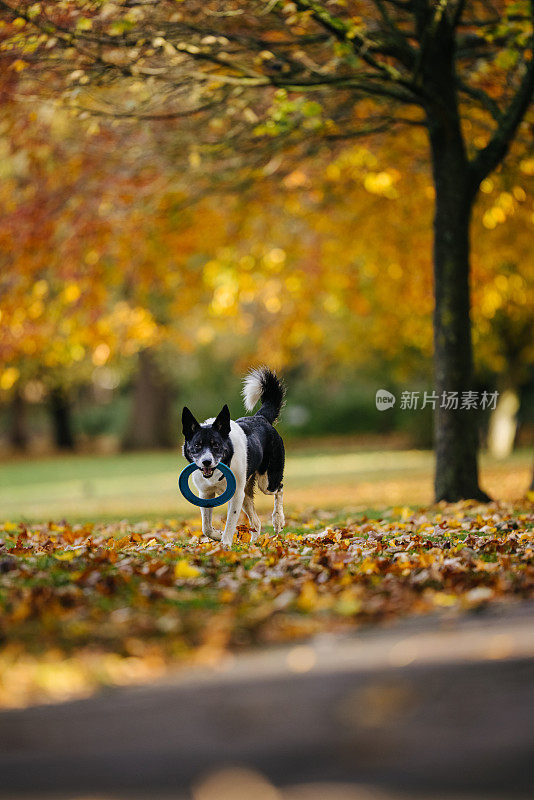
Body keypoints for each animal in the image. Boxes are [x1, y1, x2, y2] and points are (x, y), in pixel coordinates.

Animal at [182, 368, 286, 544]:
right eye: (197, 445)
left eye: (216, 445)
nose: (206, 462)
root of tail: (261, 417)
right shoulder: (205, 493)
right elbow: (206, 527)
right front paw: (217, 535)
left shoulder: (236, 495)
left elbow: (230, 523)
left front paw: (225, 544)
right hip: (246, 492)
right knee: (256, 521)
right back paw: (253, 544)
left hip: (266, 482)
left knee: (279, 488)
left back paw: (278, 520)